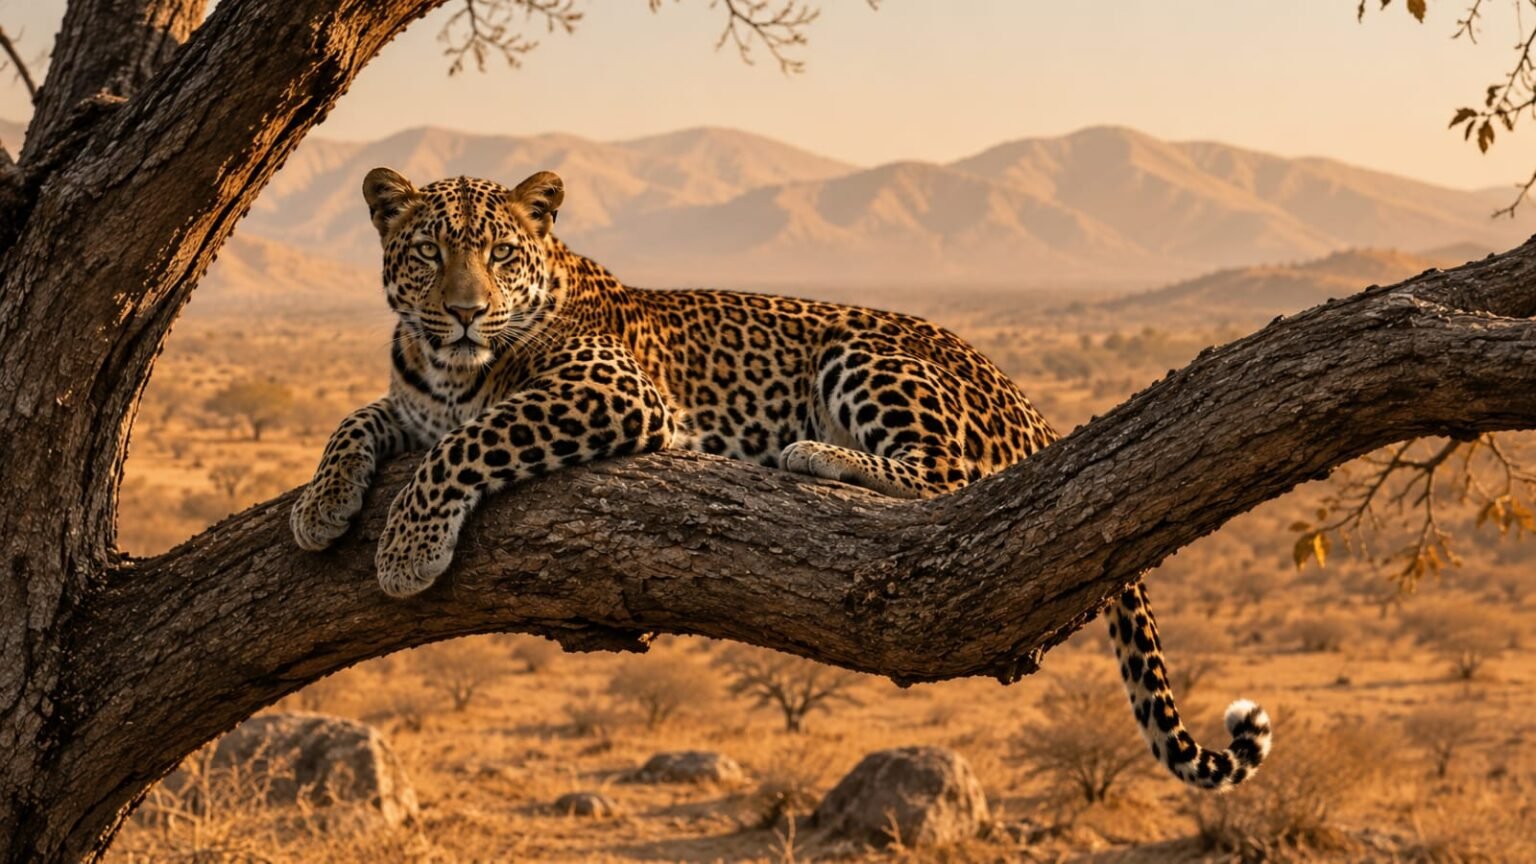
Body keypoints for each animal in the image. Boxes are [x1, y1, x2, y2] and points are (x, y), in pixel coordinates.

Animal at [290, 167, 1273, 790]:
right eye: (428, 252)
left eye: (499, 254)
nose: (464, 311)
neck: (446, 368)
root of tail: (1029, 403)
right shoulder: (414, 403)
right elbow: (358, 422)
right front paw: (320, 507)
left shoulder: (614, 394)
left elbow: (472, 442)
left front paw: (409, 550)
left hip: (862, 354)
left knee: (955, 482)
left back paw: (817, 455)